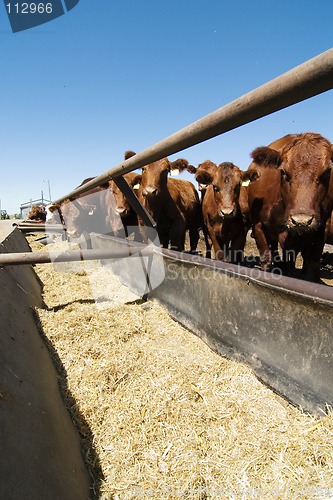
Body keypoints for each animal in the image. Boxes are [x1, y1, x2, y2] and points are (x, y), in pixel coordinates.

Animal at [244, 133, 332, 282]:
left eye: (327, 171)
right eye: (284, 172)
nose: (301, 221)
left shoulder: (320, 230)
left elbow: (312, 266)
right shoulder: (258, 226)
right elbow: (266, 260)